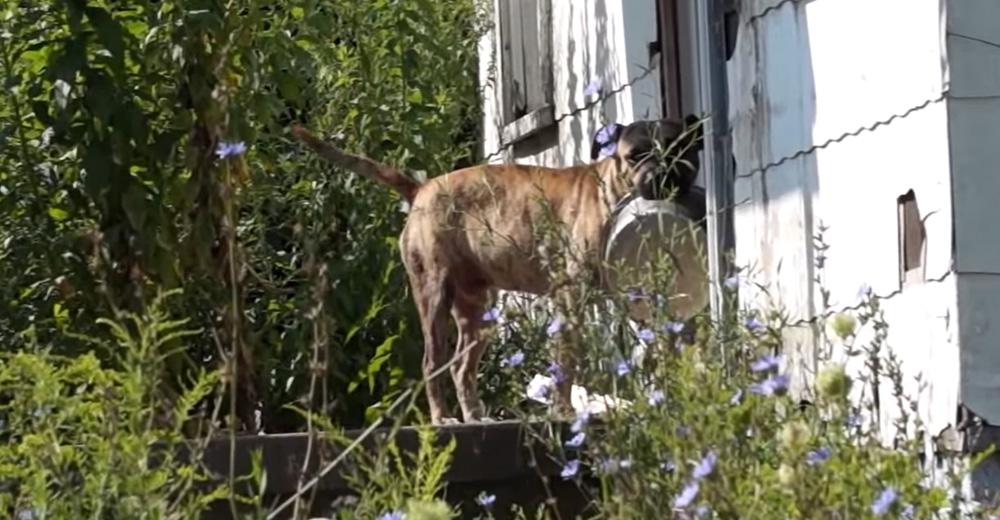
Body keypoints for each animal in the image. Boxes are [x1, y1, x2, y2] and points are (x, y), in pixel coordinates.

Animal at [291, 115, 703, 425]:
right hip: (433, 298)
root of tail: (421, 190)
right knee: (432, 363)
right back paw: (442, 418)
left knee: (461, 368)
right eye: (635, 156)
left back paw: (474, 415)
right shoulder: (570, 296)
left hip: (477, 312)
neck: (612, 191)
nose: (662, 175)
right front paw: (563, 409)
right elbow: (566, 360)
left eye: (681, 149)